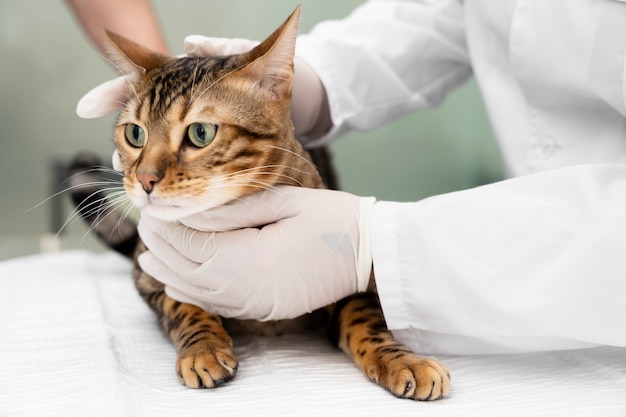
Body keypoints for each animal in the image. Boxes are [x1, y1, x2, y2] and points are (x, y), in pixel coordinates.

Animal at [69, 6, 448, 400]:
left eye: (200, 133)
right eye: (135, 133)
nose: (144, 179)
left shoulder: (348, 276)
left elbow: (366, 316)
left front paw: (403, 360)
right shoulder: (151, 272)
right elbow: (183, 304)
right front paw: (203, 348)